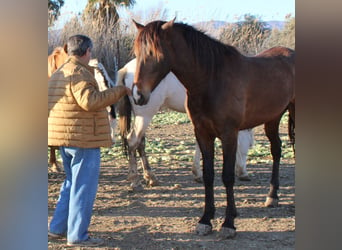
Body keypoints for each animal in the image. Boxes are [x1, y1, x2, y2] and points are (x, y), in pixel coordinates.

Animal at [116, 58, 255, 190]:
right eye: (249, 145)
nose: (244, 175)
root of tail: (126, 69)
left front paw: (197, 173)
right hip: (145, 115)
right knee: (133, 140)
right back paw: (135, 180)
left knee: (140, 143)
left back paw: (150, 177)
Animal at [132, 19, 296, 238]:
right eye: (136, 52)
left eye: (154, 53)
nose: (138, 95)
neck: (211, 80)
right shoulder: (203, 133)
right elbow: (208, 175)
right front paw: (205, 220)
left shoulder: (229, 134)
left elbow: (227, 176)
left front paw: (228, 223)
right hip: (273, 117)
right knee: (276, 150)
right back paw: (272, 196)